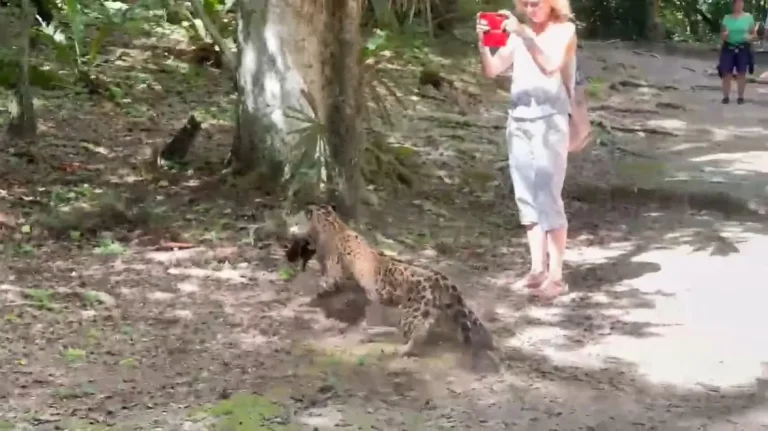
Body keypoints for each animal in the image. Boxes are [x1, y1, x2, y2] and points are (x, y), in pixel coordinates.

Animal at [286, 203, 496, 357]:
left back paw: (400, 349)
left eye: (295, 221)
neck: (331, 224)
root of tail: (442, 278)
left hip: (414, 312)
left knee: (417, 333)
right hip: (444, 310)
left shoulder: (333, 274)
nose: (288, 229)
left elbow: (321, 286)